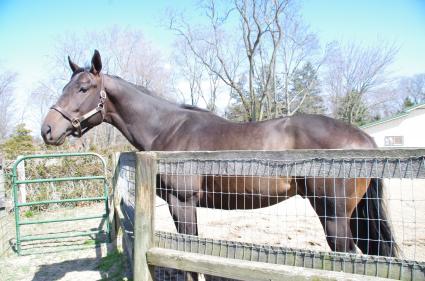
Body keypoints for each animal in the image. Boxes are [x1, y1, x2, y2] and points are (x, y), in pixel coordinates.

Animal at [40, 49, 398, 260]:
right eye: (66, 86)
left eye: (83, 88)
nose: (47, 130)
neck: (168, 128)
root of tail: (364, 138)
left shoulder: (182, 203)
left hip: (334, 218)